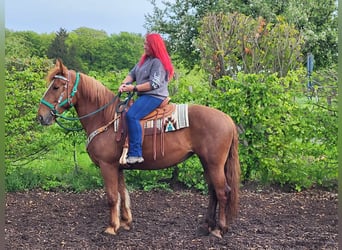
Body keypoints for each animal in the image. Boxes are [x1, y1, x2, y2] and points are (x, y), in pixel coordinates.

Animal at [37, 58, 240, 238]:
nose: (41, 116)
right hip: (207, 163)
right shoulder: (117, 167)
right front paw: (125, 222)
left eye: (56, 87)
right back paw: (207, 226)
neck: (105, 118)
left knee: (222, 192)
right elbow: (122, 194)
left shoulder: (107, 165)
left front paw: (111, 227)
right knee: (213, 192)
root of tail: (227, 119)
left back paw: (219, 229)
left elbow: (112, 196)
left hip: (214, 164)